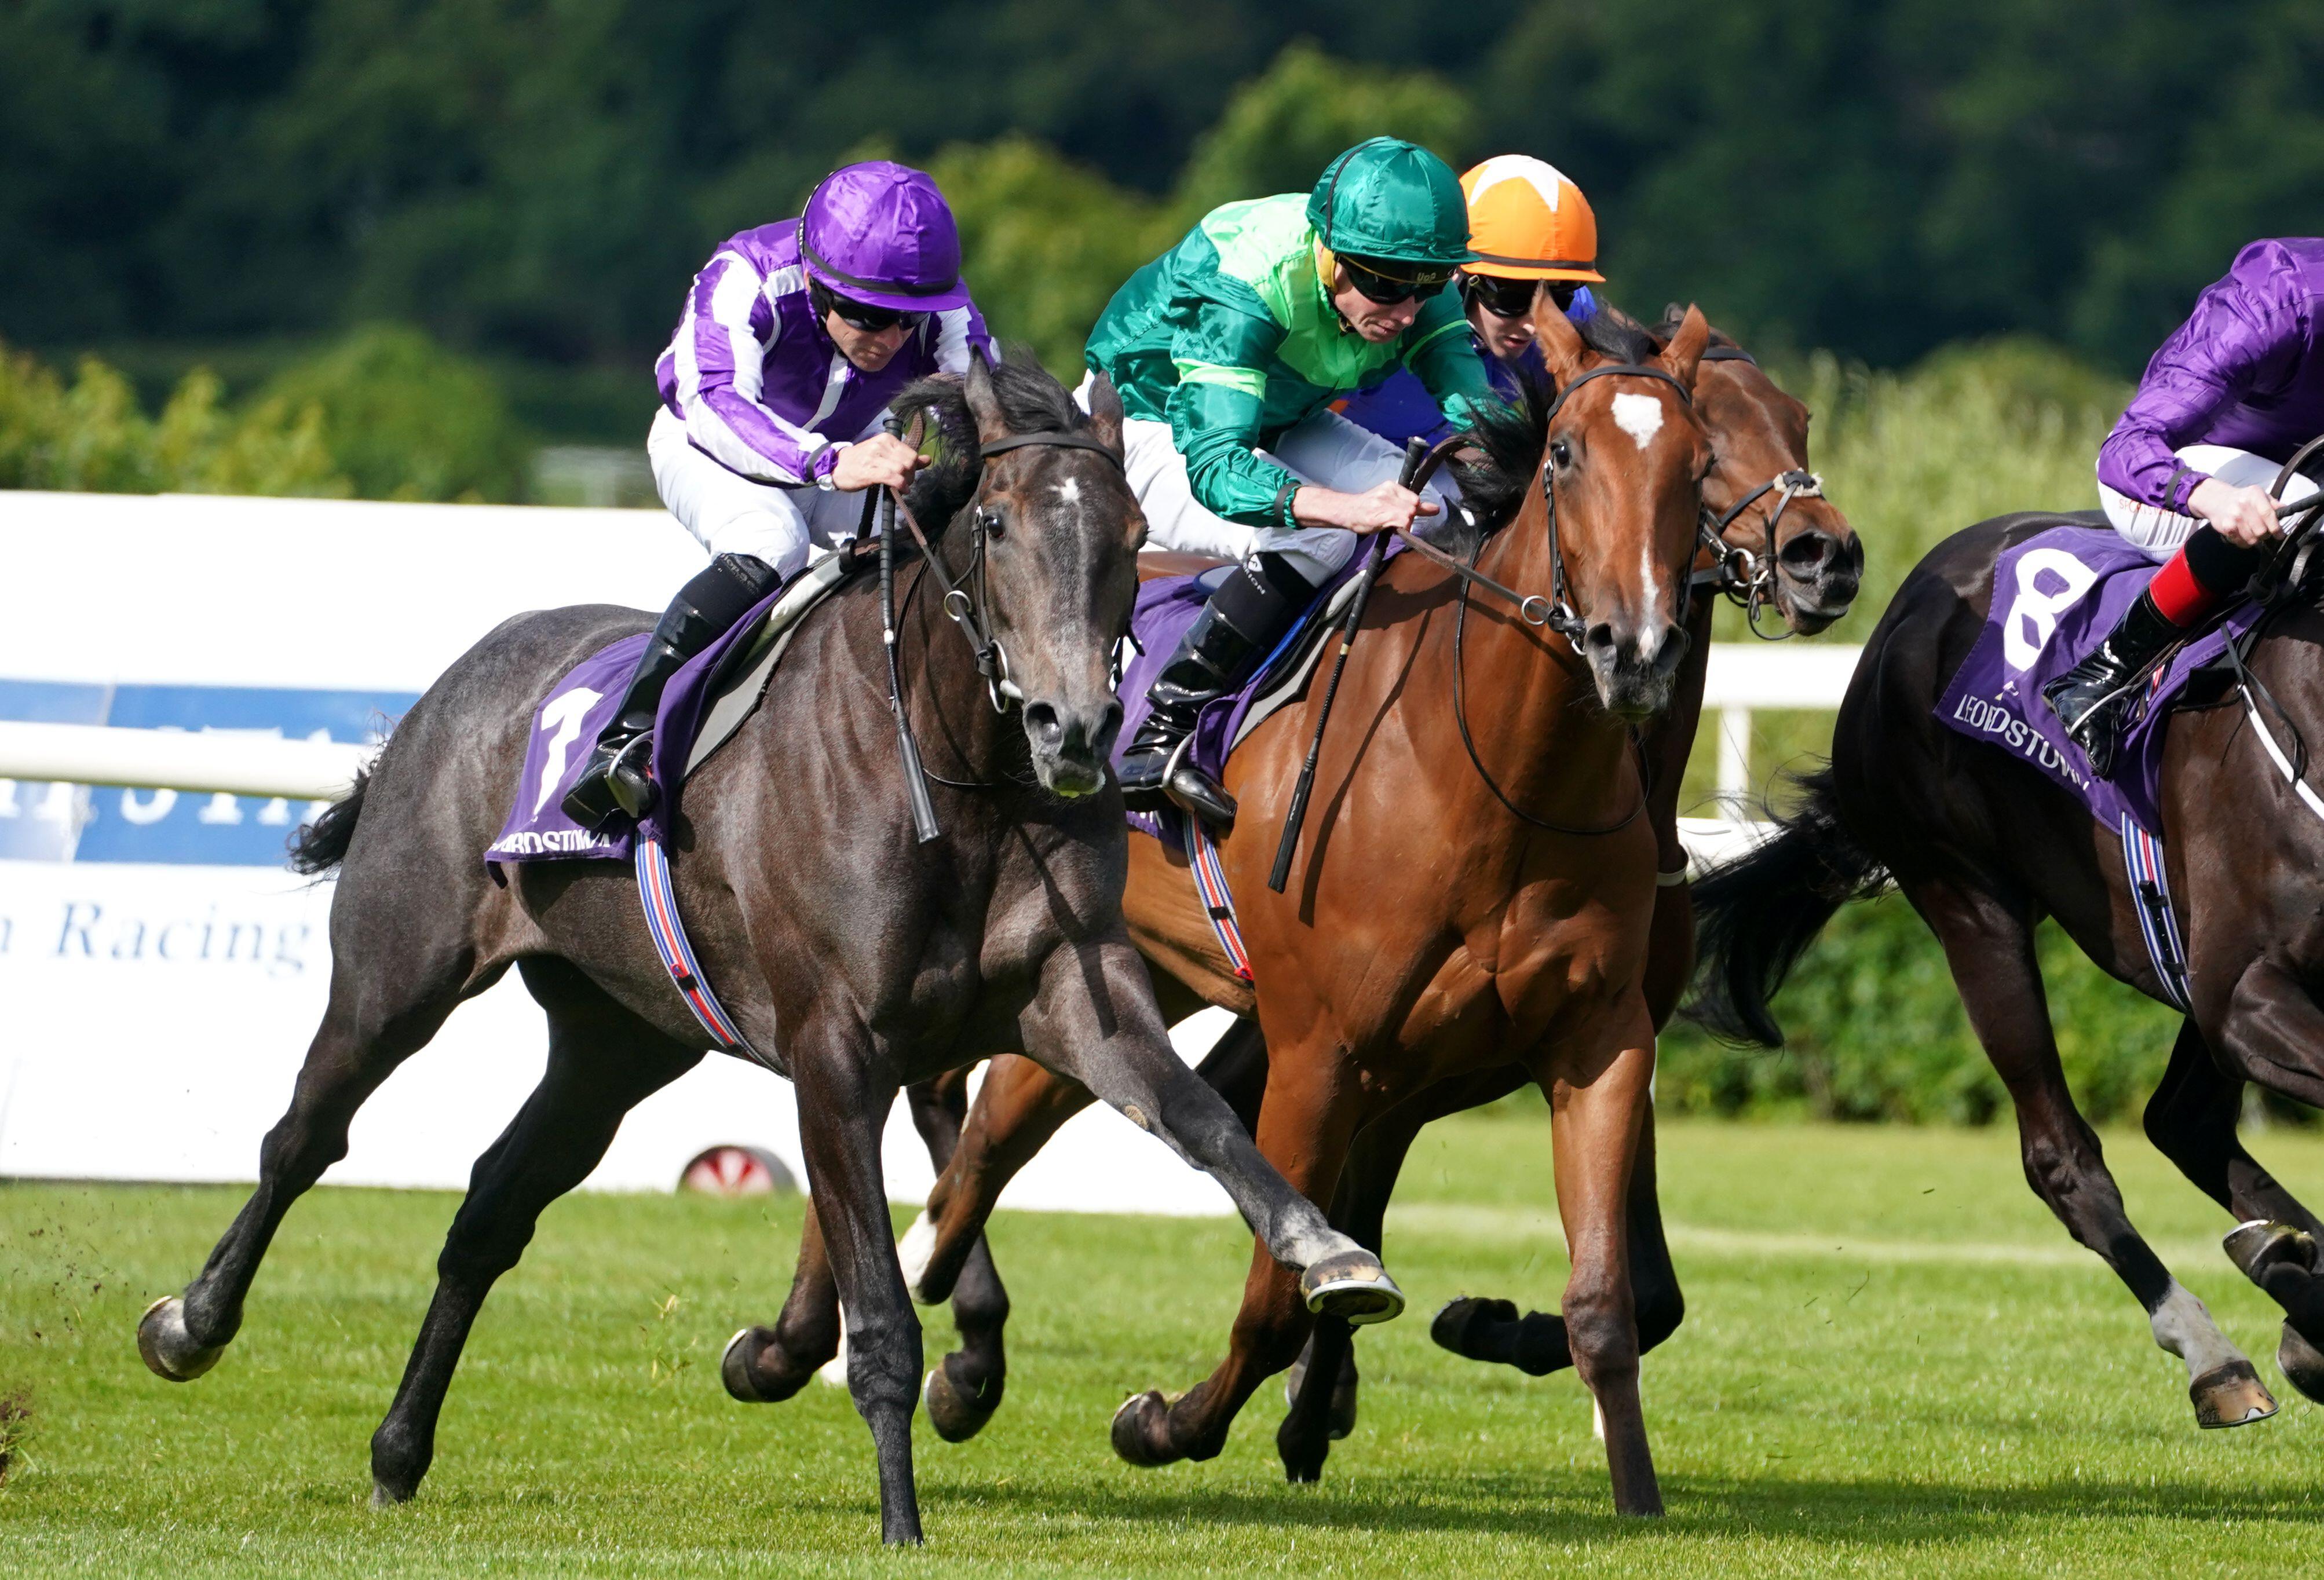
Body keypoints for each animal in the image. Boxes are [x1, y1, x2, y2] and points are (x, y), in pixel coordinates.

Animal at [140, 350, 1394, 1552]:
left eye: (1135, 536)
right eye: (996, 522)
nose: (1075, 729)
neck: (953, 770)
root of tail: (457, 682)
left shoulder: (1075, 994)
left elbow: (1204, 1119)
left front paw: (1331, 1250)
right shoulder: (833, 1050)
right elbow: (879, 1312)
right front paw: (900, 1518)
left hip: (615, 1041)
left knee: (489, 1211)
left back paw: (398, 1451)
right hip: (396, 973)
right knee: (303, 1138)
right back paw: (189, 1324)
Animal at [1691, 506, 2324, 1431]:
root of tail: (1902, 609)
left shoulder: (2237, 997)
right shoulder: (2243, 995)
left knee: (2185, 1122)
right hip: (1968, 900)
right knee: (2062, 1156)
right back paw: (2223, 1351)